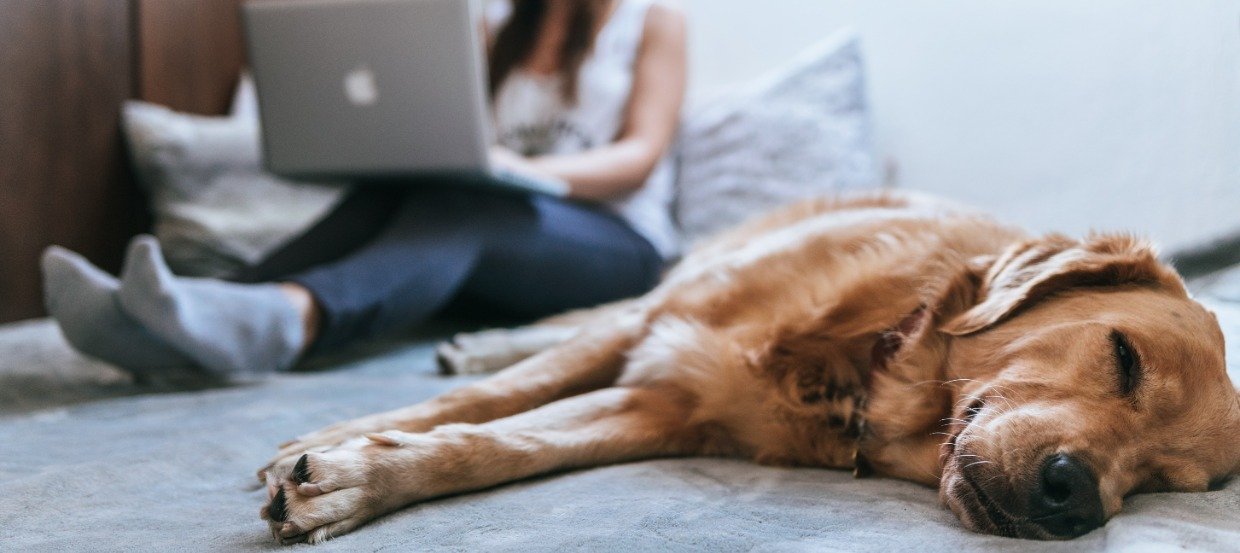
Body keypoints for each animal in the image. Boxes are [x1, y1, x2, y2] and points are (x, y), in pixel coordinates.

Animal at [256, 193, 1235, 545]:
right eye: (1122, 356)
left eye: (1165, 482)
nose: (1076, 497)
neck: (866, 356)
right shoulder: (658, 329)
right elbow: (496, 397)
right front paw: (340, 442)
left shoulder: (660, 405)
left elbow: (500, 444)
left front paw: (354, 478)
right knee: (572, 324)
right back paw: (482, 338)